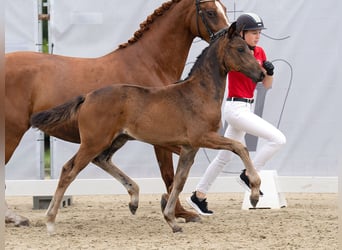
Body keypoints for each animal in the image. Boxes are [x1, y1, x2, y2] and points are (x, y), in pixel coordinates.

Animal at [4, 0, 230, 226]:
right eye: (210, 12)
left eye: (225, 9)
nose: (227, 36)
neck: (150, 63)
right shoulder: (162, 139)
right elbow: (169, 174)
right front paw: (180, 212)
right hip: (13, 133)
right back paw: (14, 217)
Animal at [30, 24, 264, 233]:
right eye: (240, 49)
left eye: (249, 48)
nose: (262, 73)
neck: (199, 93)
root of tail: (87, 96)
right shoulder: (203, 137)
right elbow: (239, 147)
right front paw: (254, 192)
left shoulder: (189, 147)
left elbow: (179, 181)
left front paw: (172, 221)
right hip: (93, 142)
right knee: (69, 171)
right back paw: (50, 222)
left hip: (117, 140)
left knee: (101, 160)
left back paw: (134, 199)